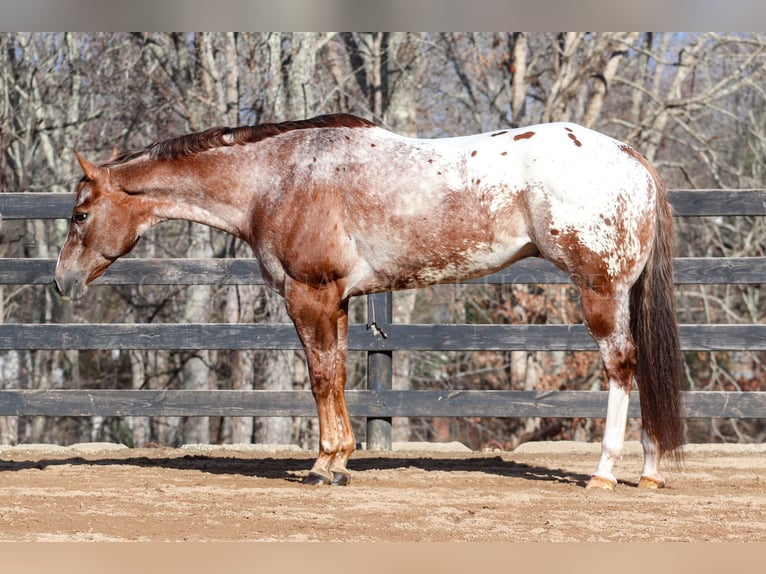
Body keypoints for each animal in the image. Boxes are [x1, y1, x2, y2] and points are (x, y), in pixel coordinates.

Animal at [57, 112, 688, 490]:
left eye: (81, 214)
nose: (61, 281)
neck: (277, 178)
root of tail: (630, 157)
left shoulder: (308, 295)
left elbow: (320, 378)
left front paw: (322, 466)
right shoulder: (335, 301)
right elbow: (336, 374)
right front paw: (339, 461)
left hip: (600, 291)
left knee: (622, 367)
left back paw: (604, 474)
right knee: (642, 371)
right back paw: (650, 473)